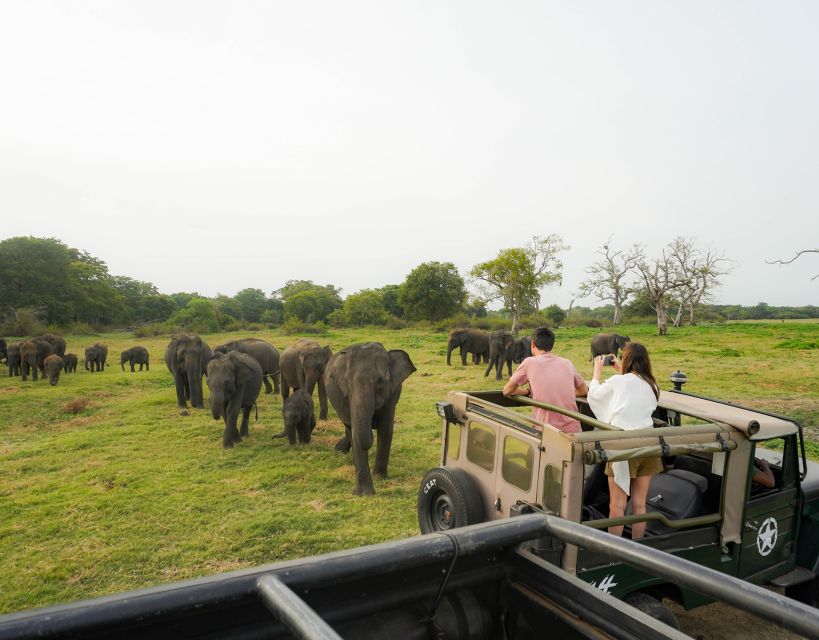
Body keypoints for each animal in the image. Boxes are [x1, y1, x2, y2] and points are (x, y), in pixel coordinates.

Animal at [326, 342, 416, 498]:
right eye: (348, 383)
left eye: (380, 382)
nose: (372, 424)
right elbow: (355, 432)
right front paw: (363, 494)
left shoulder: (391, 393)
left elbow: (385, 429)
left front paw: (379, 477)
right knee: (348, 428)